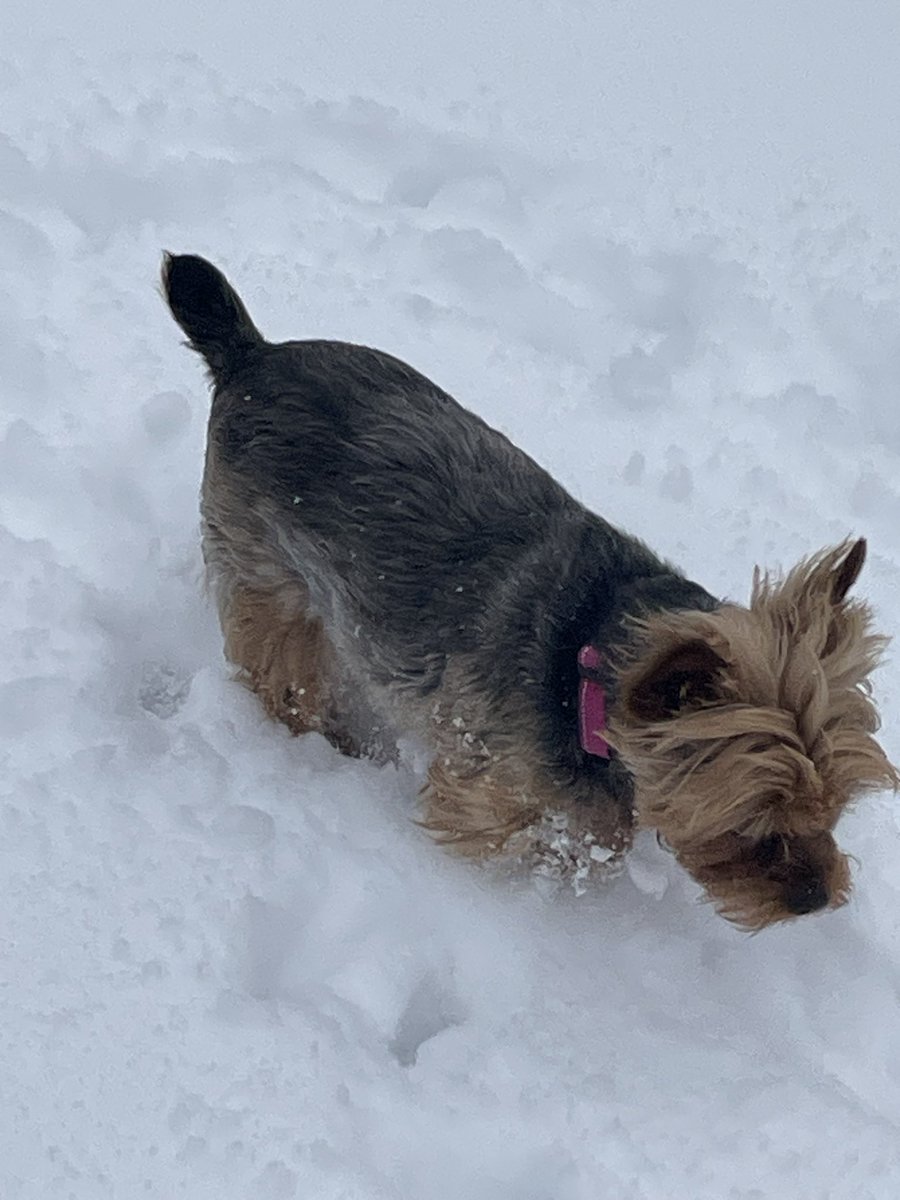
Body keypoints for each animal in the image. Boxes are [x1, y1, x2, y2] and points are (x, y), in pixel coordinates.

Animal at [160, 250, 897, 926]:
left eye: (833, 806)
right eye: (753, 815)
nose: (818, 898)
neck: (588, 654)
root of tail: (250, 354)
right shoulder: (487, 789)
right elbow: (562, 837)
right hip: (266, 577)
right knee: (282, 671)